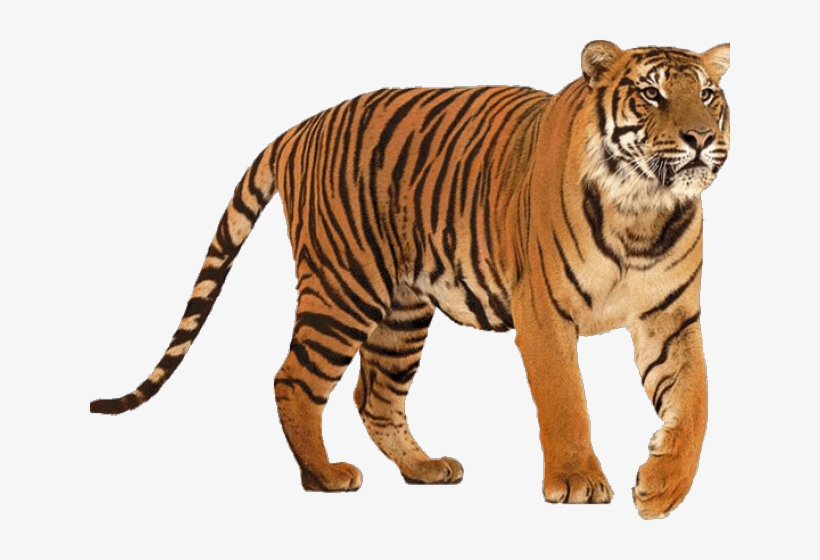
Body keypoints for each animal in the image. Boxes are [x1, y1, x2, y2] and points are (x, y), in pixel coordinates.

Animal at [91, 40, 730, 519]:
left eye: (706, 94)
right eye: (651, 94)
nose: (700, 137)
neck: (643, 211)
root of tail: (302, 126)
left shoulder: (672, 319)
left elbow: (695, 404)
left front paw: (662, 489)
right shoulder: (544, 315)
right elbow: (566, 399)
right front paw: (576, 481)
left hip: (400, 312)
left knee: (374, 395)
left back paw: (424, 469)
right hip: (343, 287)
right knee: (292, 379)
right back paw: (324, 476)